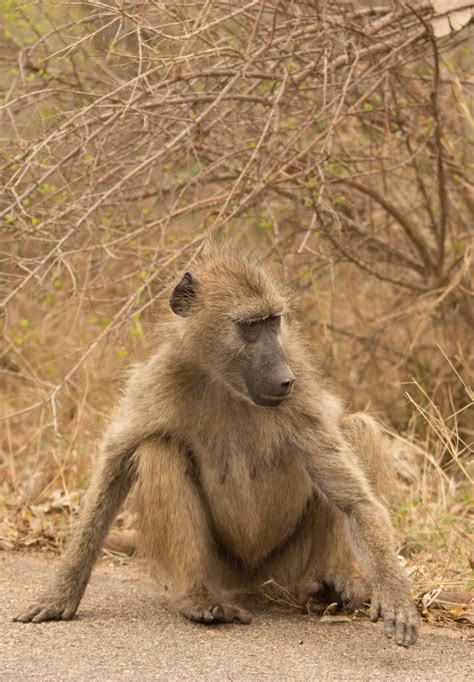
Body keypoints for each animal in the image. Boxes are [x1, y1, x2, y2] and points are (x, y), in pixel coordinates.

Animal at [12, 244, 418, 644]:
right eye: (250, 326)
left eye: (274, 322)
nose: (285, 379)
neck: (225, 383)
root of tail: (254, 577)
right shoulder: (159, 378)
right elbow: (115, 465)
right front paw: (60, 594)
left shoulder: (300, 392)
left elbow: (355, 503)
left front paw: (394, 591)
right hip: (222, 566)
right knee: (159, 450)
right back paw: (199, 599)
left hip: (288, 564)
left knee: (358, 428)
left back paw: (336, 579)